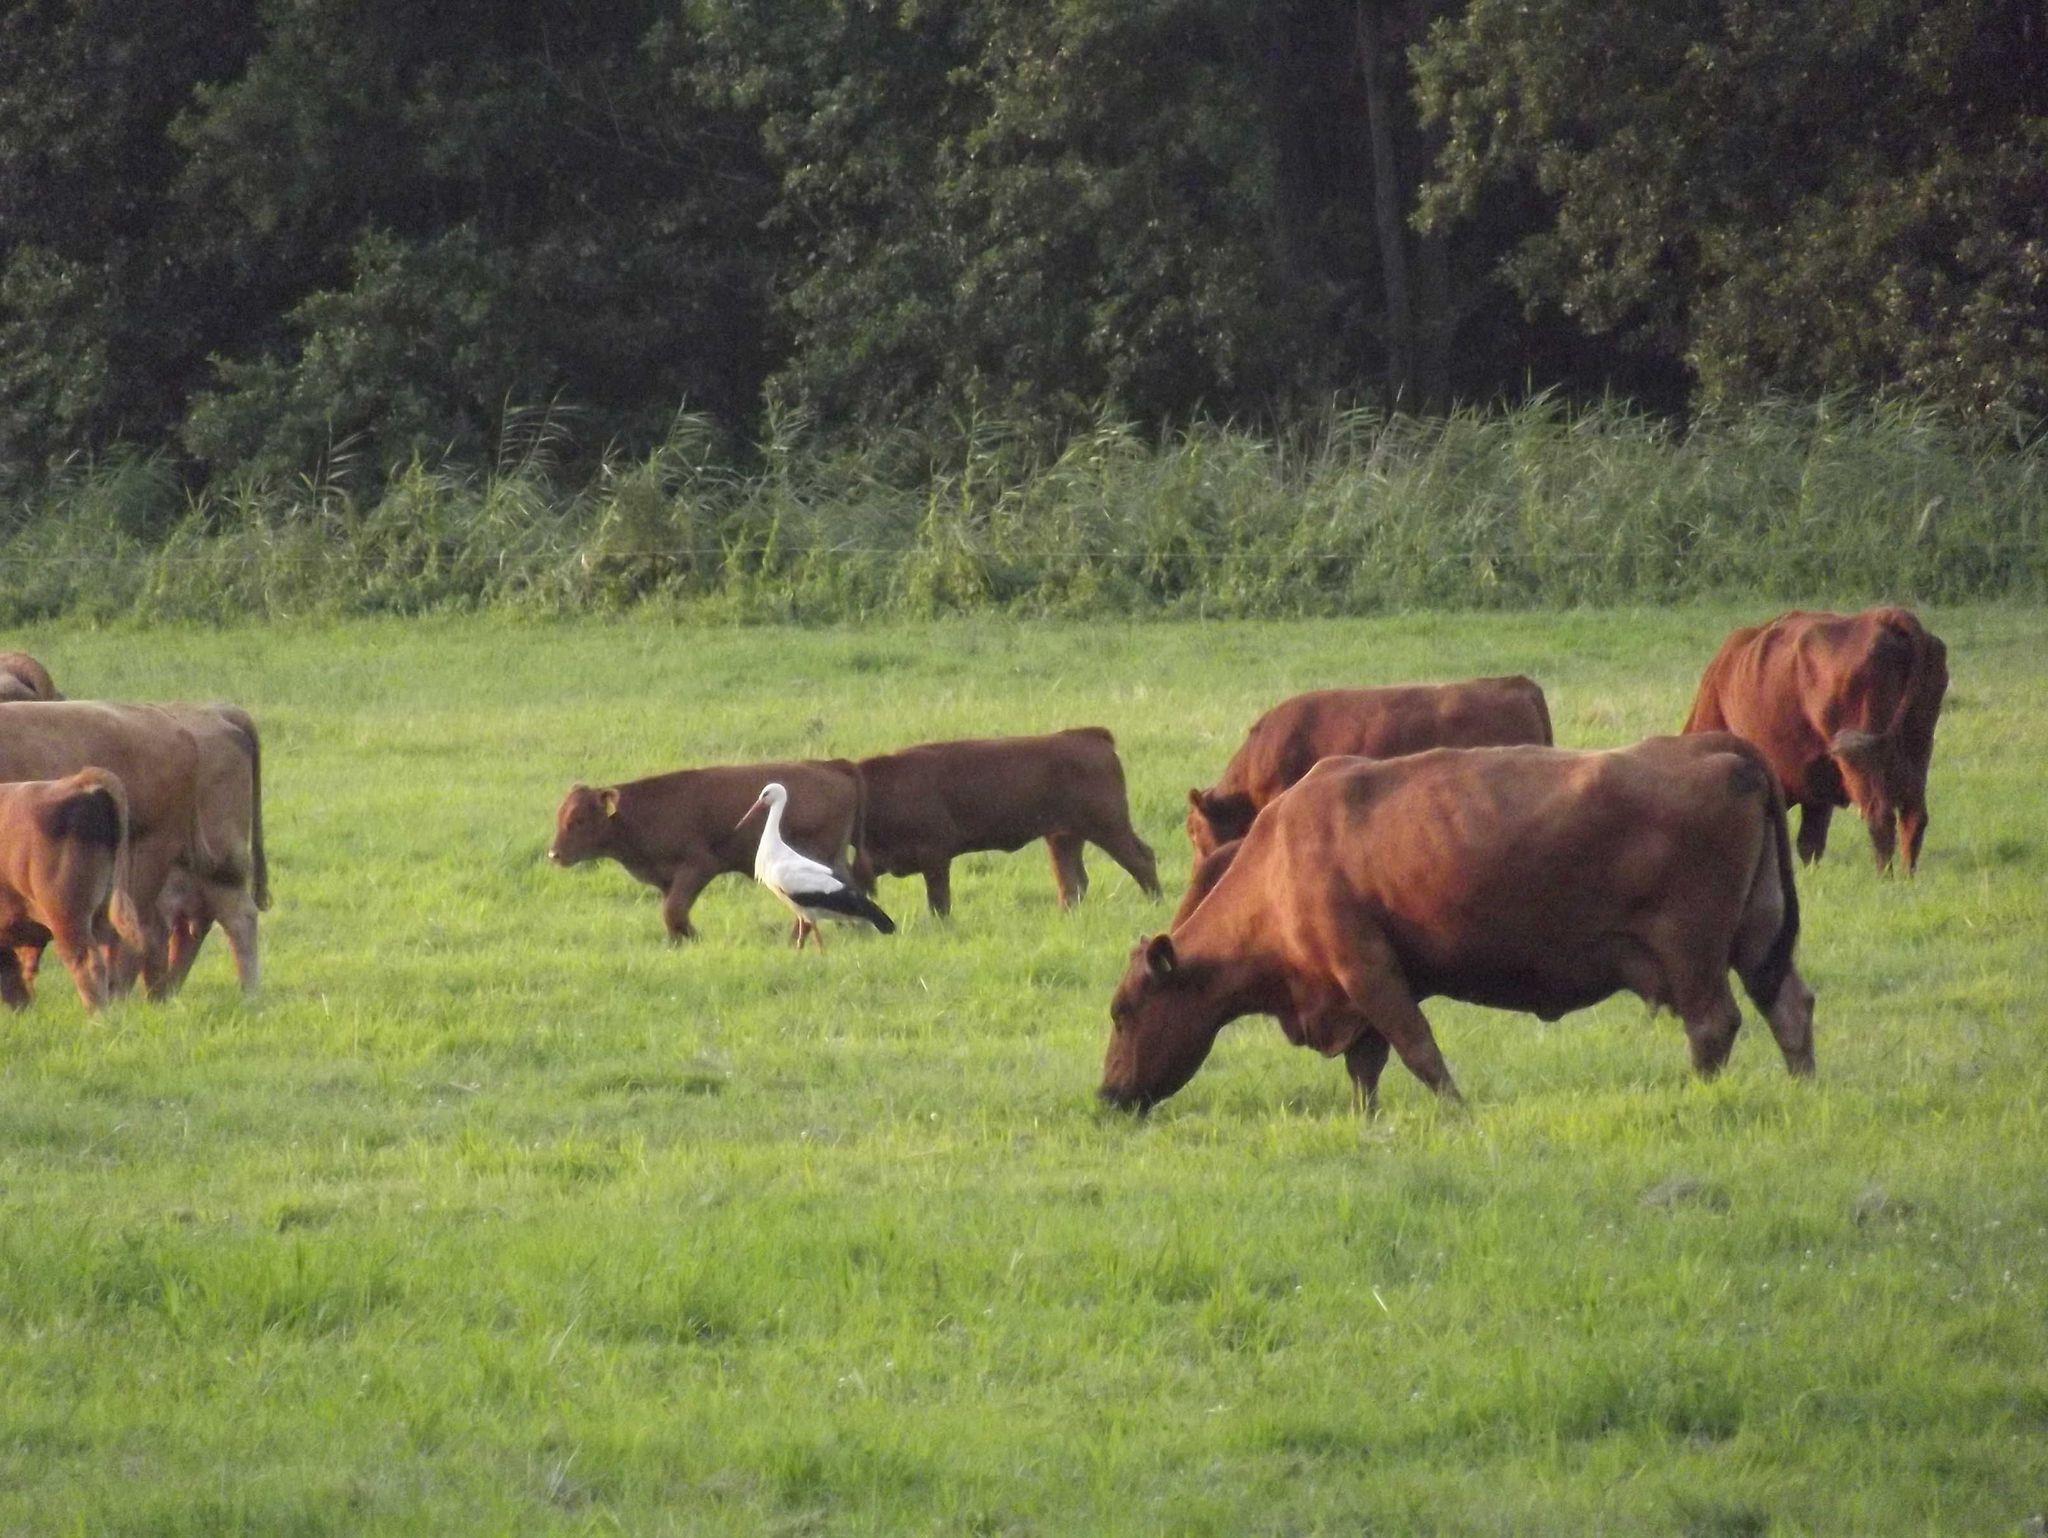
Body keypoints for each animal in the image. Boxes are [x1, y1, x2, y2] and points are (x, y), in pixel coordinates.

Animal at [548, 759, 864, 941]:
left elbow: (673, 911)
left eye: (578, 819)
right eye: (560, 815)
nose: (554, 854)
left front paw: (693, 936)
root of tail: (834, 766)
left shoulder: (698, 867)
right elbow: (671, 912)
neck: (643, 811)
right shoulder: (667, 879)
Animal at [853, 728, 1161, 916]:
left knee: (1141, 860)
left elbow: (939, 903)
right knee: (1073, 882)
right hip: (1064, 837)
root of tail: (1090, 736)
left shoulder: (935, 857)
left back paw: (1157, 903)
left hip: (1108, 828)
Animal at [1101, 734, 1814, 1114]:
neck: (1280, 860)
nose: (1108, 1095)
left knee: (1713, 1024)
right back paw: (1803, 1086)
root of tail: (1718, 749)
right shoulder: (1354, 997)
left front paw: (1458, 1114)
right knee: (1789, 1006)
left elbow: (1418, 1050)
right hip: (1759, 940)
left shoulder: (1368, 973)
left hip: (1693, 954)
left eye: (1124, 1011)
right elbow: (1366, 1068)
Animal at [1683, 608, 1948, 874]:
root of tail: (1885, 617)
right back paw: (1908, 876)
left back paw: (1885, 877)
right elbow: (1810, 843)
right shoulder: (1817, 794)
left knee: (1880, 815)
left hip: (1861, 761)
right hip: (1919, 748)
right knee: (1914, 817)